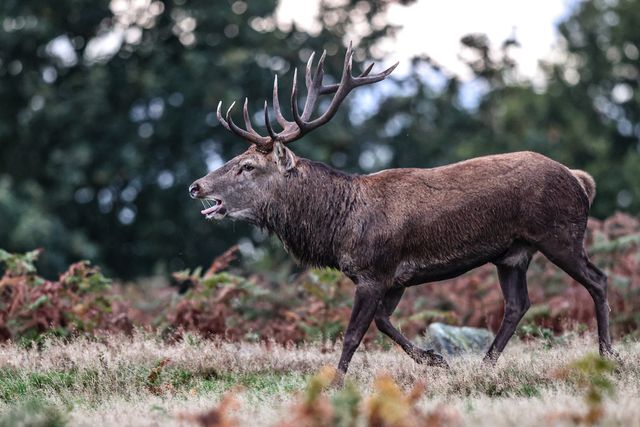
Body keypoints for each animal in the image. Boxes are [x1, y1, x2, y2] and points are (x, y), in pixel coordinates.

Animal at [188, 43, 617, 377]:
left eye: (248, 166)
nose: (196, 186)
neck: (339, 228)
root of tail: (581, 180)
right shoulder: (395, 277)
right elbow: (383, 322)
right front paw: (435, 360)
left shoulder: (375, 270)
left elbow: (352, 334)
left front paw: (334, 384)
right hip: (512, 254)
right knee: (517, 304)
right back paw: (485, 364)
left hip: (559, 233)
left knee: (598, 280)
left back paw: (607, 354)